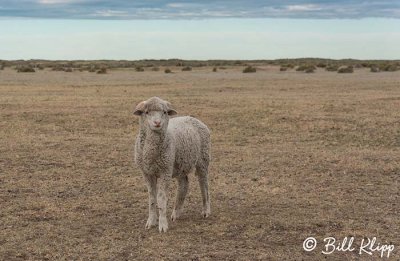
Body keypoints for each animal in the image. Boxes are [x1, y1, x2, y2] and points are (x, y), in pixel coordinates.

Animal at [133, 97, 211, 232]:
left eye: (164, 112)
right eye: (146, 112)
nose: (157, 123)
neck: (151, 152)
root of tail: (193, 118)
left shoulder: (165, 171)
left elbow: (161, 198)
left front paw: (162, 225)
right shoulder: (147, 173)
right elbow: (152, 198)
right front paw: (151, 222)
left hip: (202, 160)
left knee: (204, 185)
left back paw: (206, 210)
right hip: (181, 164)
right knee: (184, 185)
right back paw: (176, 213)